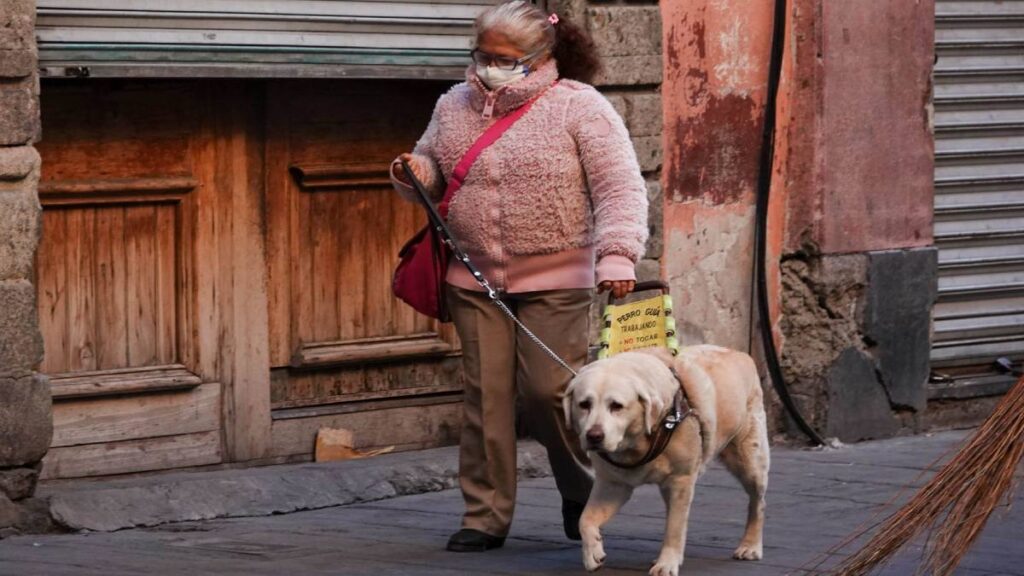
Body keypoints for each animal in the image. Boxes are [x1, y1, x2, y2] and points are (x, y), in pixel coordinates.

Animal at [561, 342, 770, 569]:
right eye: (584, 404)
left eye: (616, 406)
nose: (594, 436)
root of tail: (739, 353)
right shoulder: (612, 485)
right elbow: (585, 519)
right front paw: (592, 552)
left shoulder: (682, 480)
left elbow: (674, 528)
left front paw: (667, 563)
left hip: (749, 461)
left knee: (758, 503)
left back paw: (750, 546)